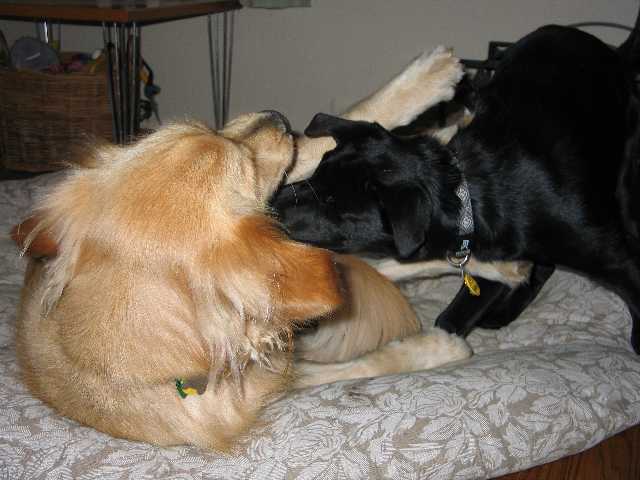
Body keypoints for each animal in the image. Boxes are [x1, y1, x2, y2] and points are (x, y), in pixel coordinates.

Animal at [12, 111, 471, 451]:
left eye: (207, 126)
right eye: (245, 166)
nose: (279, 116)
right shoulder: (276, 375)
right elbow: (368, 362)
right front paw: (439, 348)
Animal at [272, 24, 640, 353]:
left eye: (336, 207)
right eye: (317, 175)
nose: (272, 206)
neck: (468, 194)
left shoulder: (610, 255)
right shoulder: (491, 252)